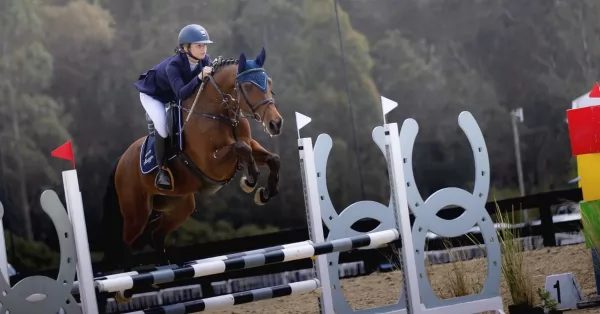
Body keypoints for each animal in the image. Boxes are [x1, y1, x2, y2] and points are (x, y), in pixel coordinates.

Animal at [99, 47, 284, 274]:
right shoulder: (212, 164)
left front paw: (265, 193)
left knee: (156, 235)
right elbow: (241, 148)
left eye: (269, 82)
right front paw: (249, 181)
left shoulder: (250, 144)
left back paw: (167, 267)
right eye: (248, 86)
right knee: (126, 241)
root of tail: (121, 161)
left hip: (180, 206)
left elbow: (271, 158)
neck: (218, 113)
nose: (275, 124)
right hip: (137, 212)